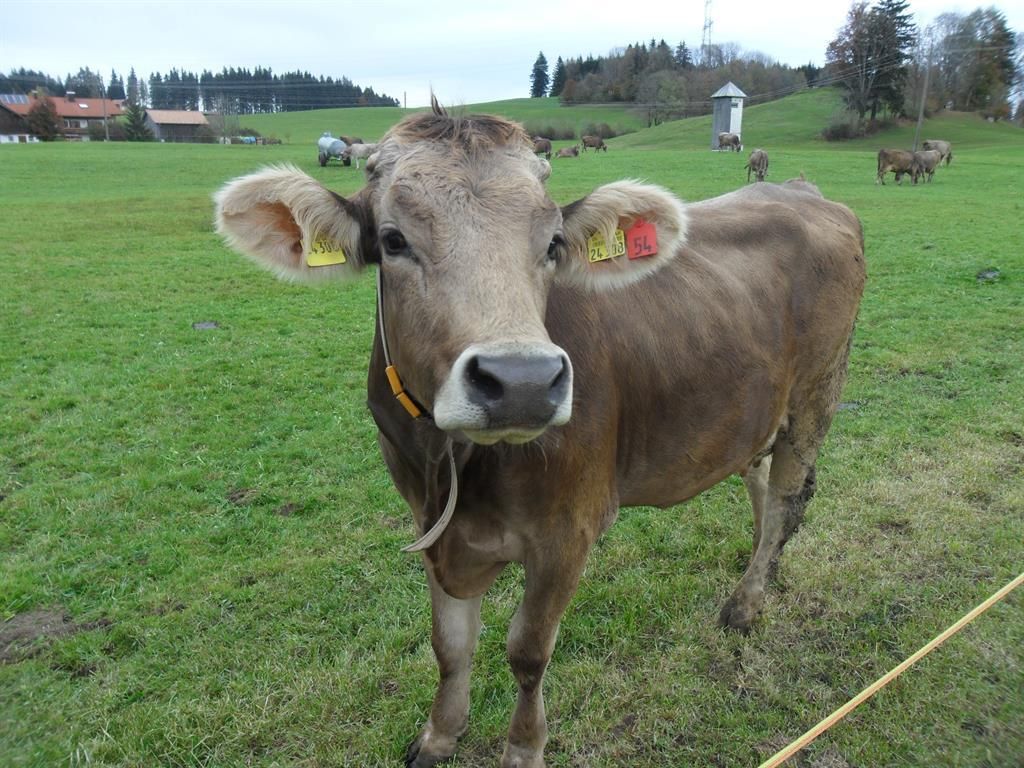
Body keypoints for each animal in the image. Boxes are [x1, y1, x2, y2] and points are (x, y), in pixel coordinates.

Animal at [214, 100, 865, 768]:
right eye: (393, 241)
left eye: (553, 243)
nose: (521, 381)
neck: (449, 466)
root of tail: (800, 190)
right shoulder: (433, 527)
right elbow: (449, 644)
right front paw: (440, 733)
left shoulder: (567, 531)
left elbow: (527, 652)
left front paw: (524, 748)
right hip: (754, 407)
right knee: (758, 478)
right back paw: (764, 567)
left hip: (818, 392)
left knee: (788, 497)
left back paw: (745, 604)